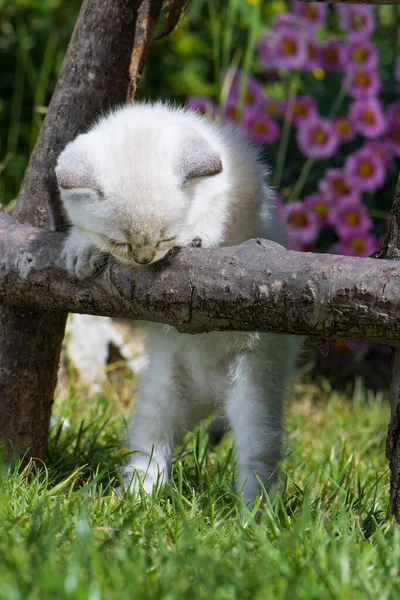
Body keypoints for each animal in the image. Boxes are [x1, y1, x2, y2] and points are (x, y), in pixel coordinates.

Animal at [57, 102, 300, 506]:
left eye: (165, 237)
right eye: (120, 242)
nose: (144, 259)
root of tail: (211, 396)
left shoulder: (246, 196)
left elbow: (221, 215)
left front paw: (199, 233)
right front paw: (81, 248)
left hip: (255, 391)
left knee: (258, 461)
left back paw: (253, 514)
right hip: (162, 393)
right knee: (150, 447)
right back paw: (136, 498)